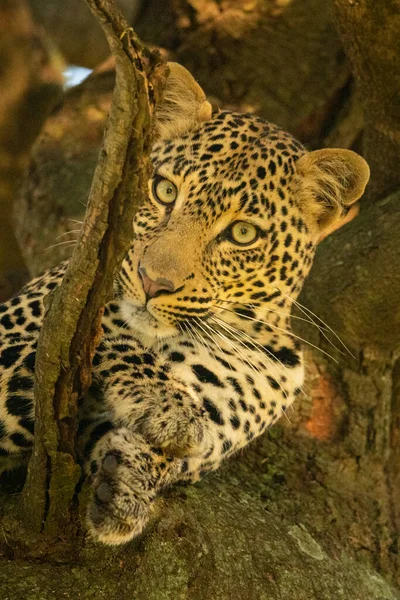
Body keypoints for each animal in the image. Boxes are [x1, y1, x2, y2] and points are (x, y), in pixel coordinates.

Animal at [0, 62, 368, 544]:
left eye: (242, 233)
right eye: (164, 191)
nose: (153, 282)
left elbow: (181, 449)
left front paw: (129, 481)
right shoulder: (17, 329)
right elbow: (98, 337)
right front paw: (170, 408)